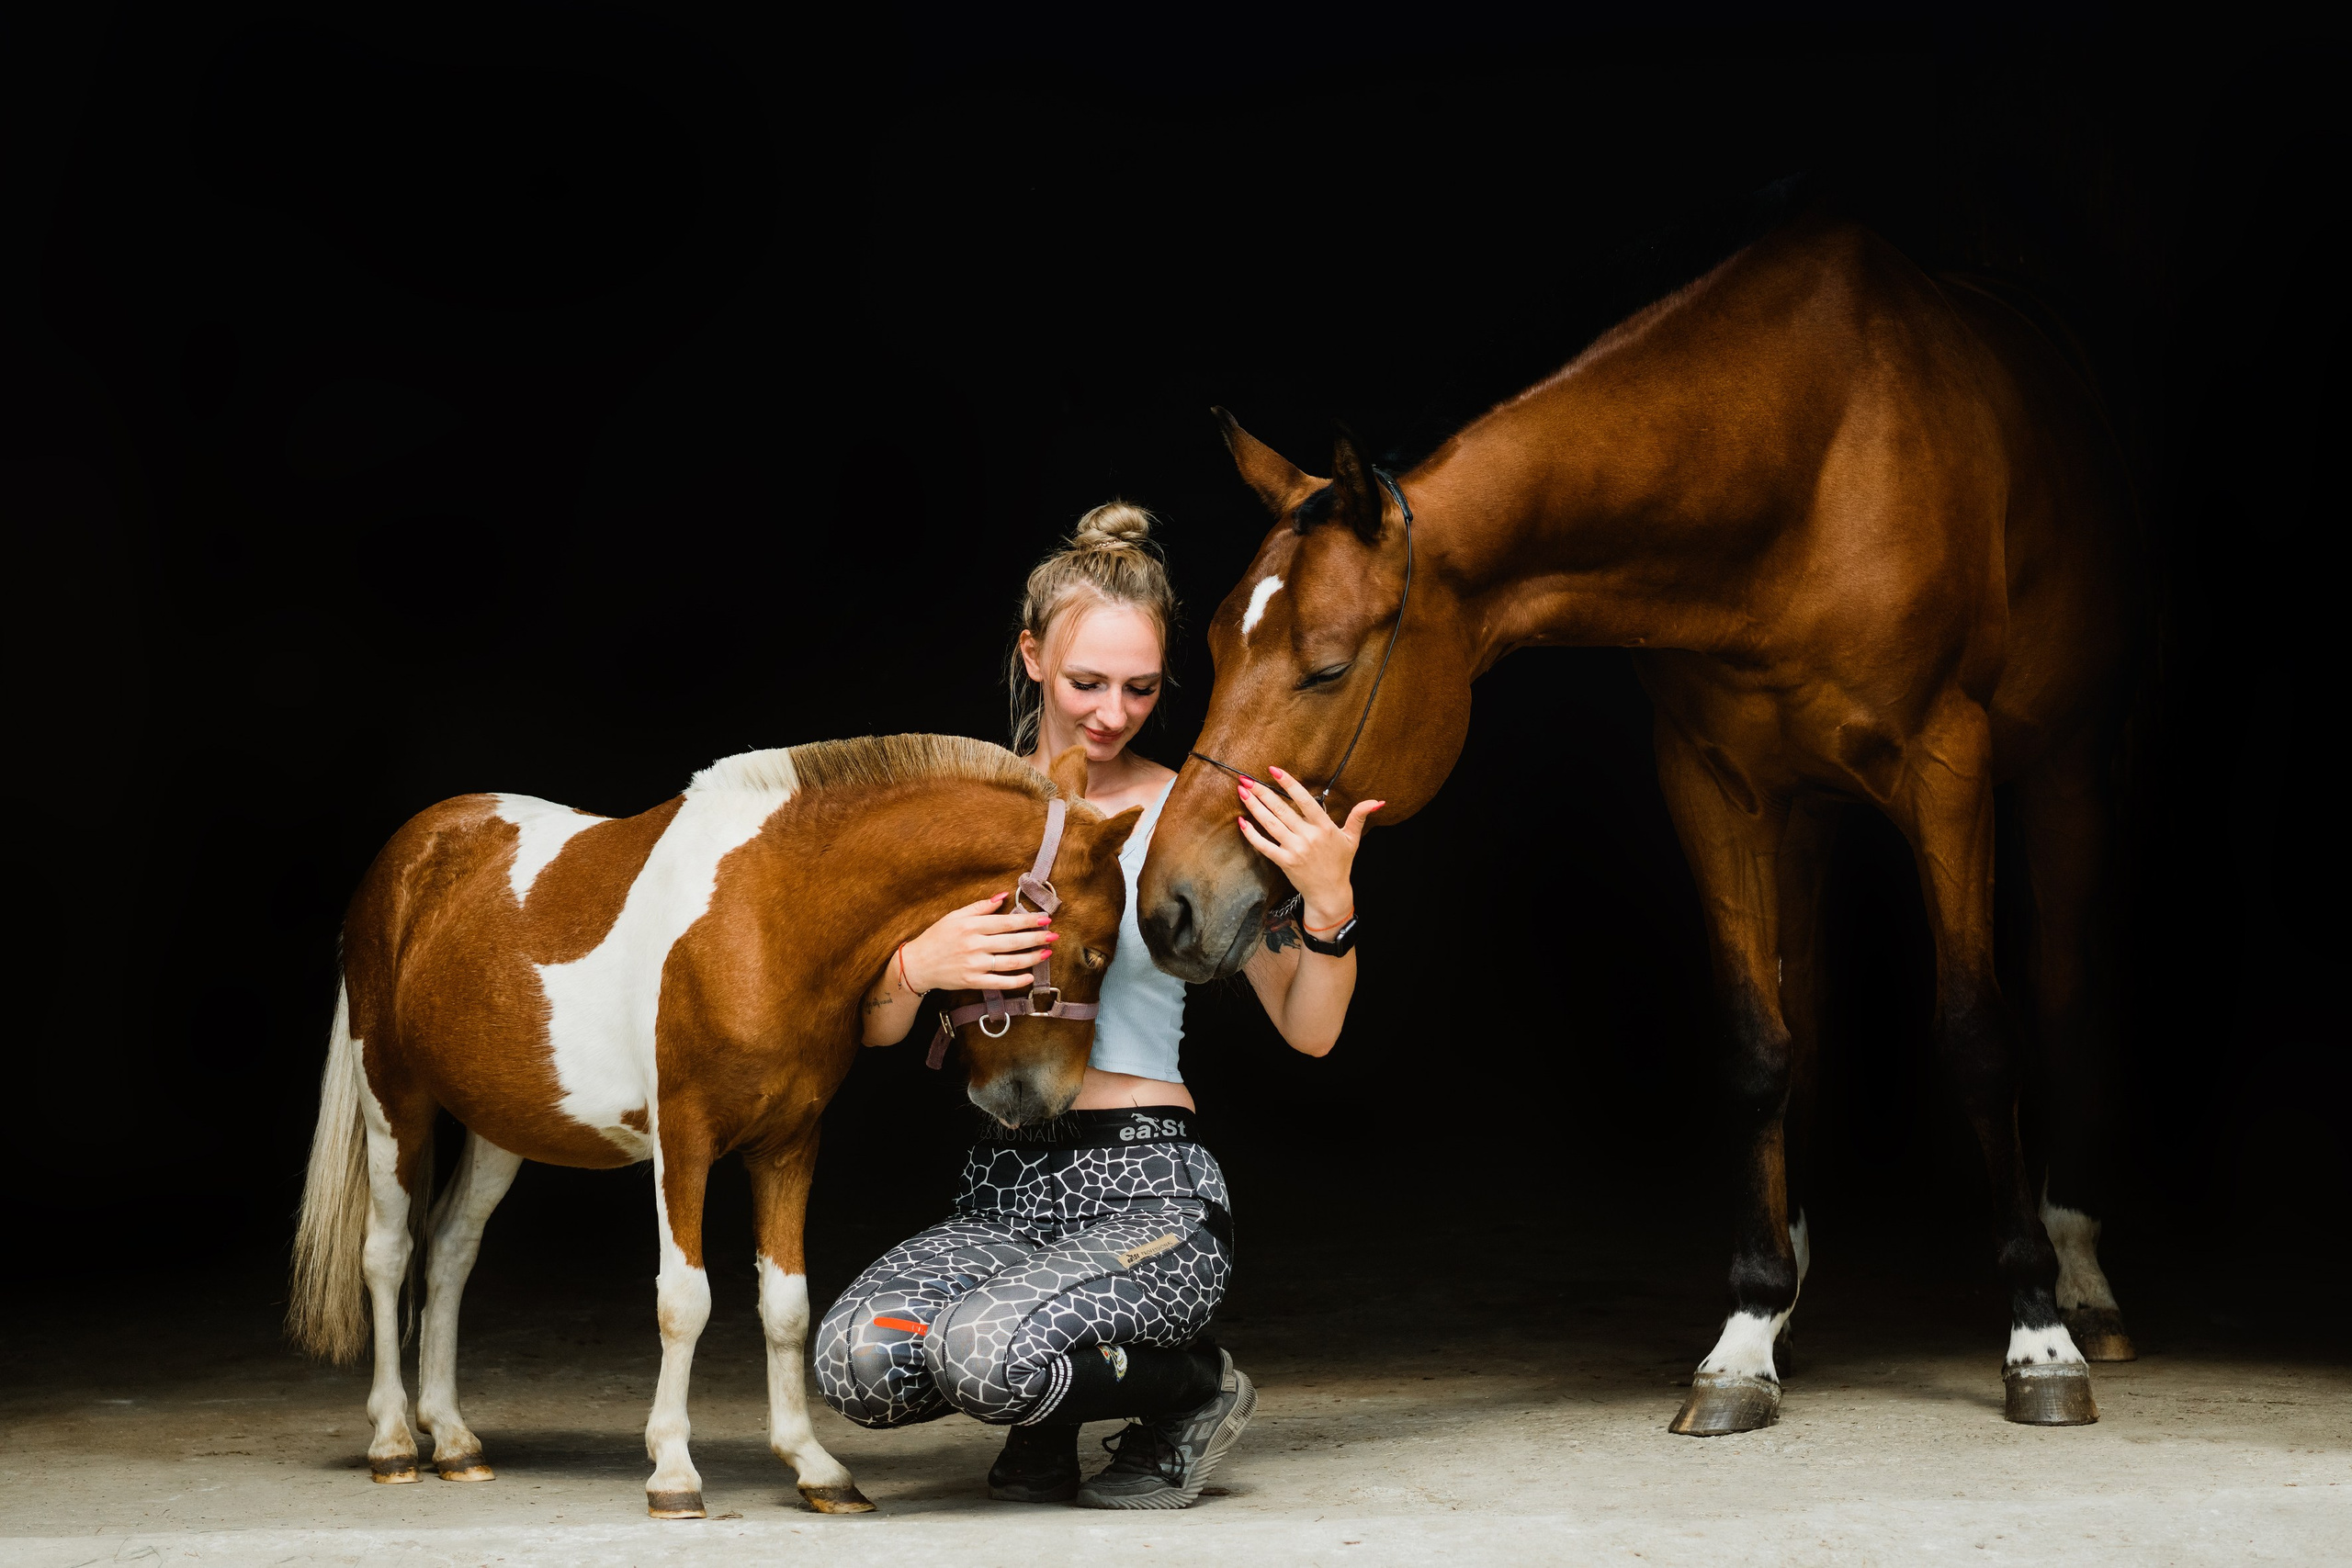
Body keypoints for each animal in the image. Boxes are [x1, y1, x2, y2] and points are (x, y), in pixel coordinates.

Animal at [288, 736, 1141, 1517]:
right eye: (1093, 951)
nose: (1036, 1100)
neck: (764, 917)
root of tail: (413, 850)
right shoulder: (684, 1141)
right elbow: (684, 1300)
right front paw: (672, 1470)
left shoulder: (789, 1145)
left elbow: (787, 1305)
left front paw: (815, 1466)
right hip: (393, 1100)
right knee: (388, 1253)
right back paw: (394, 1440)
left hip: (503, 1125)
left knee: (450, 1252)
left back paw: (455, 1439)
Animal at [1139, 214, 2141, 1435]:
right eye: (1212, 647)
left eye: (1327, 669)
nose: (1171, 903)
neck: (1803, 459)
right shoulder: (1711, 785)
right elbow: (1757, 1045)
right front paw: (1746, 1331)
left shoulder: (1948, 769)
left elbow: (1977, 1035)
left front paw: (2034, 1333)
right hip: (1805, 814)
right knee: (1804, 1007)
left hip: (2061, 774)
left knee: (2062, 994)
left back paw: (2080, 1279)